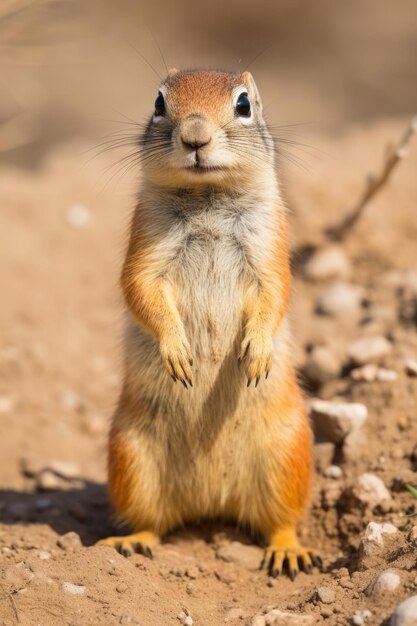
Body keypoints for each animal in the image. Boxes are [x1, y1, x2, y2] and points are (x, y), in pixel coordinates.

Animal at [98, 67, 318, 576]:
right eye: (159, 103)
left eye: (243, 105)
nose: (195, 137)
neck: (207, 198)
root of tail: (211, 500)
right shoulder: (145, 243)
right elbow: (139, 288)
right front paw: (178, 354)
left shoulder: (270, 245)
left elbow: (276, 292)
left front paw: (256, 354)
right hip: (131, 457)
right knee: (151, 521)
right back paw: (131, 542)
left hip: (287, 454)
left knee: (282, 521)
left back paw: (289, 551)